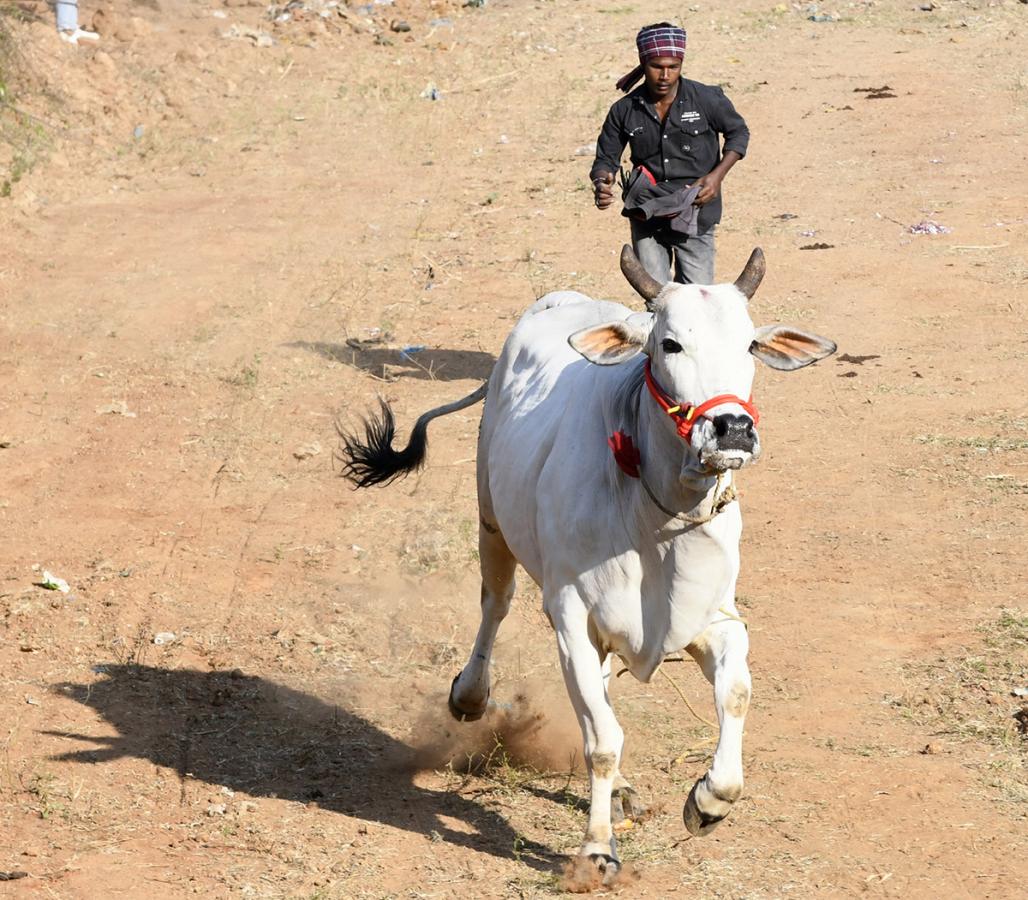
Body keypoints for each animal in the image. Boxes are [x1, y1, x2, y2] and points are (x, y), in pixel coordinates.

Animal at [341, 247, 838, 880]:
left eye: (749, 344)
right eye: (670, 343)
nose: (732, 429)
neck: (656, 517)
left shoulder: (715, 619)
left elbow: (734, 698)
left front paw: (707, 802)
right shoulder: (572, 620)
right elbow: (601, 739)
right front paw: (598, 848)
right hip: (491, 520)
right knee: (495, 605)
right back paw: (471, 695)